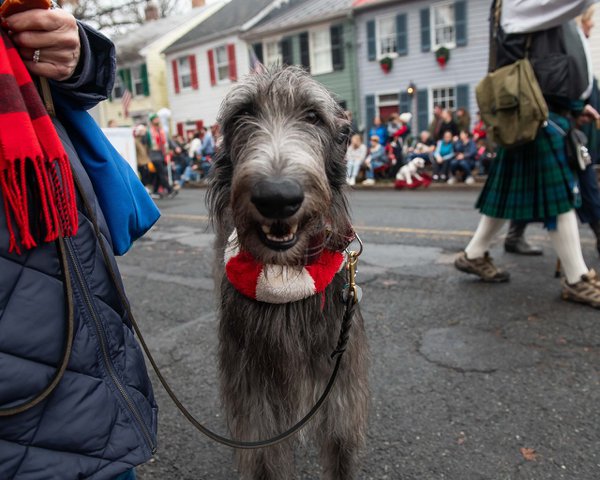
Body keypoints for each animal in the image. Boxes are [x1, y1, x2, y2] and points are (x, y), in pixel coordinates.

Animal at [209, 65, 370, 478]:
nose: (277, 197)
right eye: (242, 115)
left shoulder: (340, 402)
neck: (286, 282)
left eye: (313, 116)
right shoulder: (257, 416)